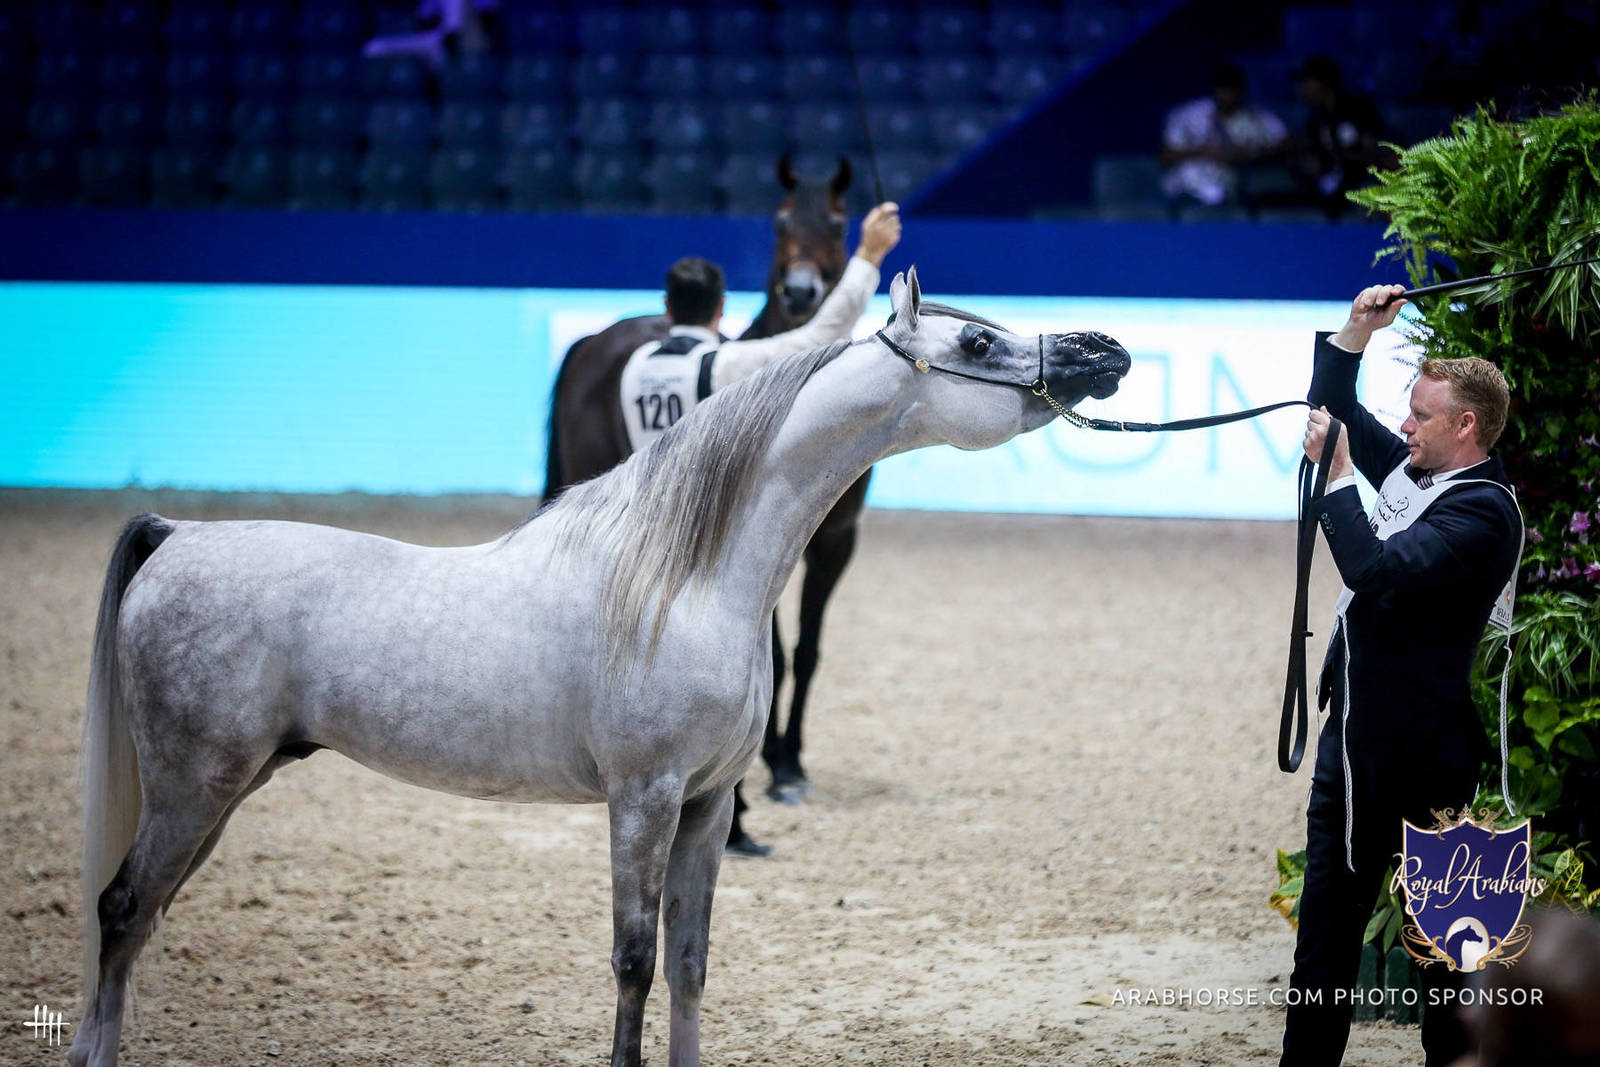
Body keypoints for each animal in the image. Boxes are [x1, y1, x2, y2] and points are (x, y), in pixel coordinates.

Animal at [70, 267, 1131, 1067]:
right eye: (979, 344)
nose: (1105, 352)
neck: (686, 578)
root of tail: (178, 536)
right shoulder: (642, 797)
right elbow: (633, 961)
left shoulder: (706, 804)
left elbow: (691, 963)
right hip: (194, 783)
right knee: (122, 908)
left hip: (226, 785)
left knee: (140, 914)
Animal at [545, 154, 867, 847]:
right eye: (779, 220)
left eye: (836, 222)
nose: (801, 293)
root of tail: (596, 339)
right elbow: (778, 652)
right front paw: (760, 777)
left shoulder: (835, 541)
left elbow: (807, 650)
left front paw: (789, 766)